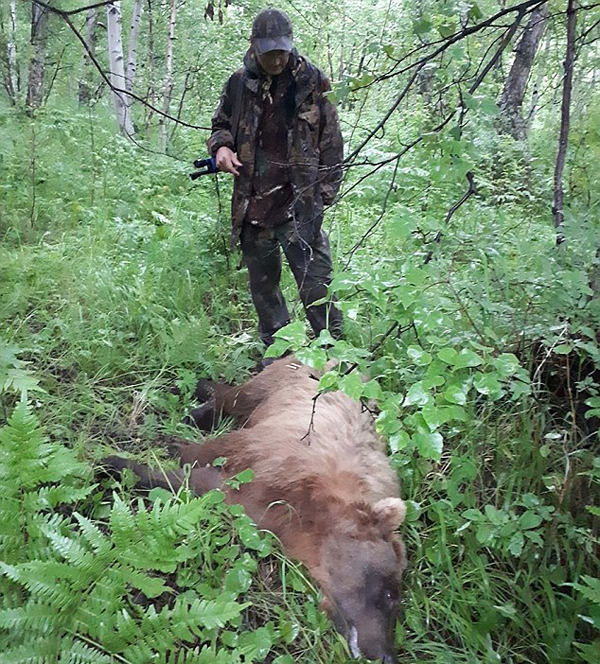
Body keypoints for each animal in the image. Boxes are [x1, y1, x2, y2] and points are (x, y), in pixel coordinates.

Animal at [106, 360, 408, 660]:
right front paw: (124, 462)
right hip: (281, 380)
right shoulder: (270, 462)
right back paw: (203, 400)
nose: (386, 655)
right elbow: (204, 464)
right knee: (241, 395)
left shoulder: (267, 514)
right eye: (389, 593)